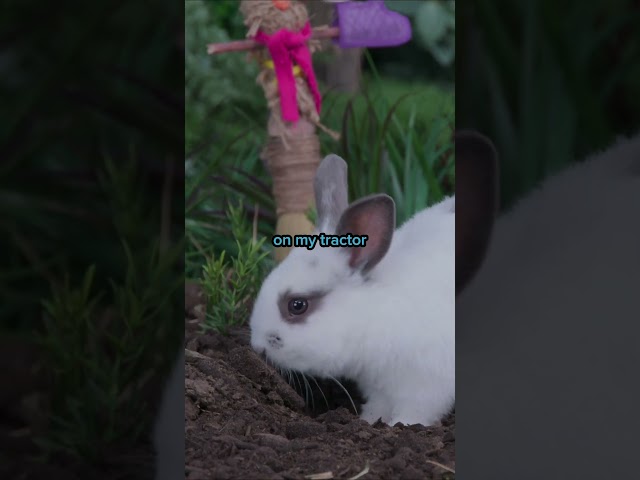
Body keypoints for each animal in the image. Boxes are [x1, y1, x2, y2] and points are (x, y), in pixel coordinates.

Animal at [249, 153, 456, 424]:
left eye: (297, 305)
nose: (257, 346)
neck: (375, 313)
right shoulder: (379, 389)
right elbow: (377, 406)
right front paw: (368, 421)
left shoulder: (424, 388)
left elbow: (413, 414)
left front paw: (398, 426)